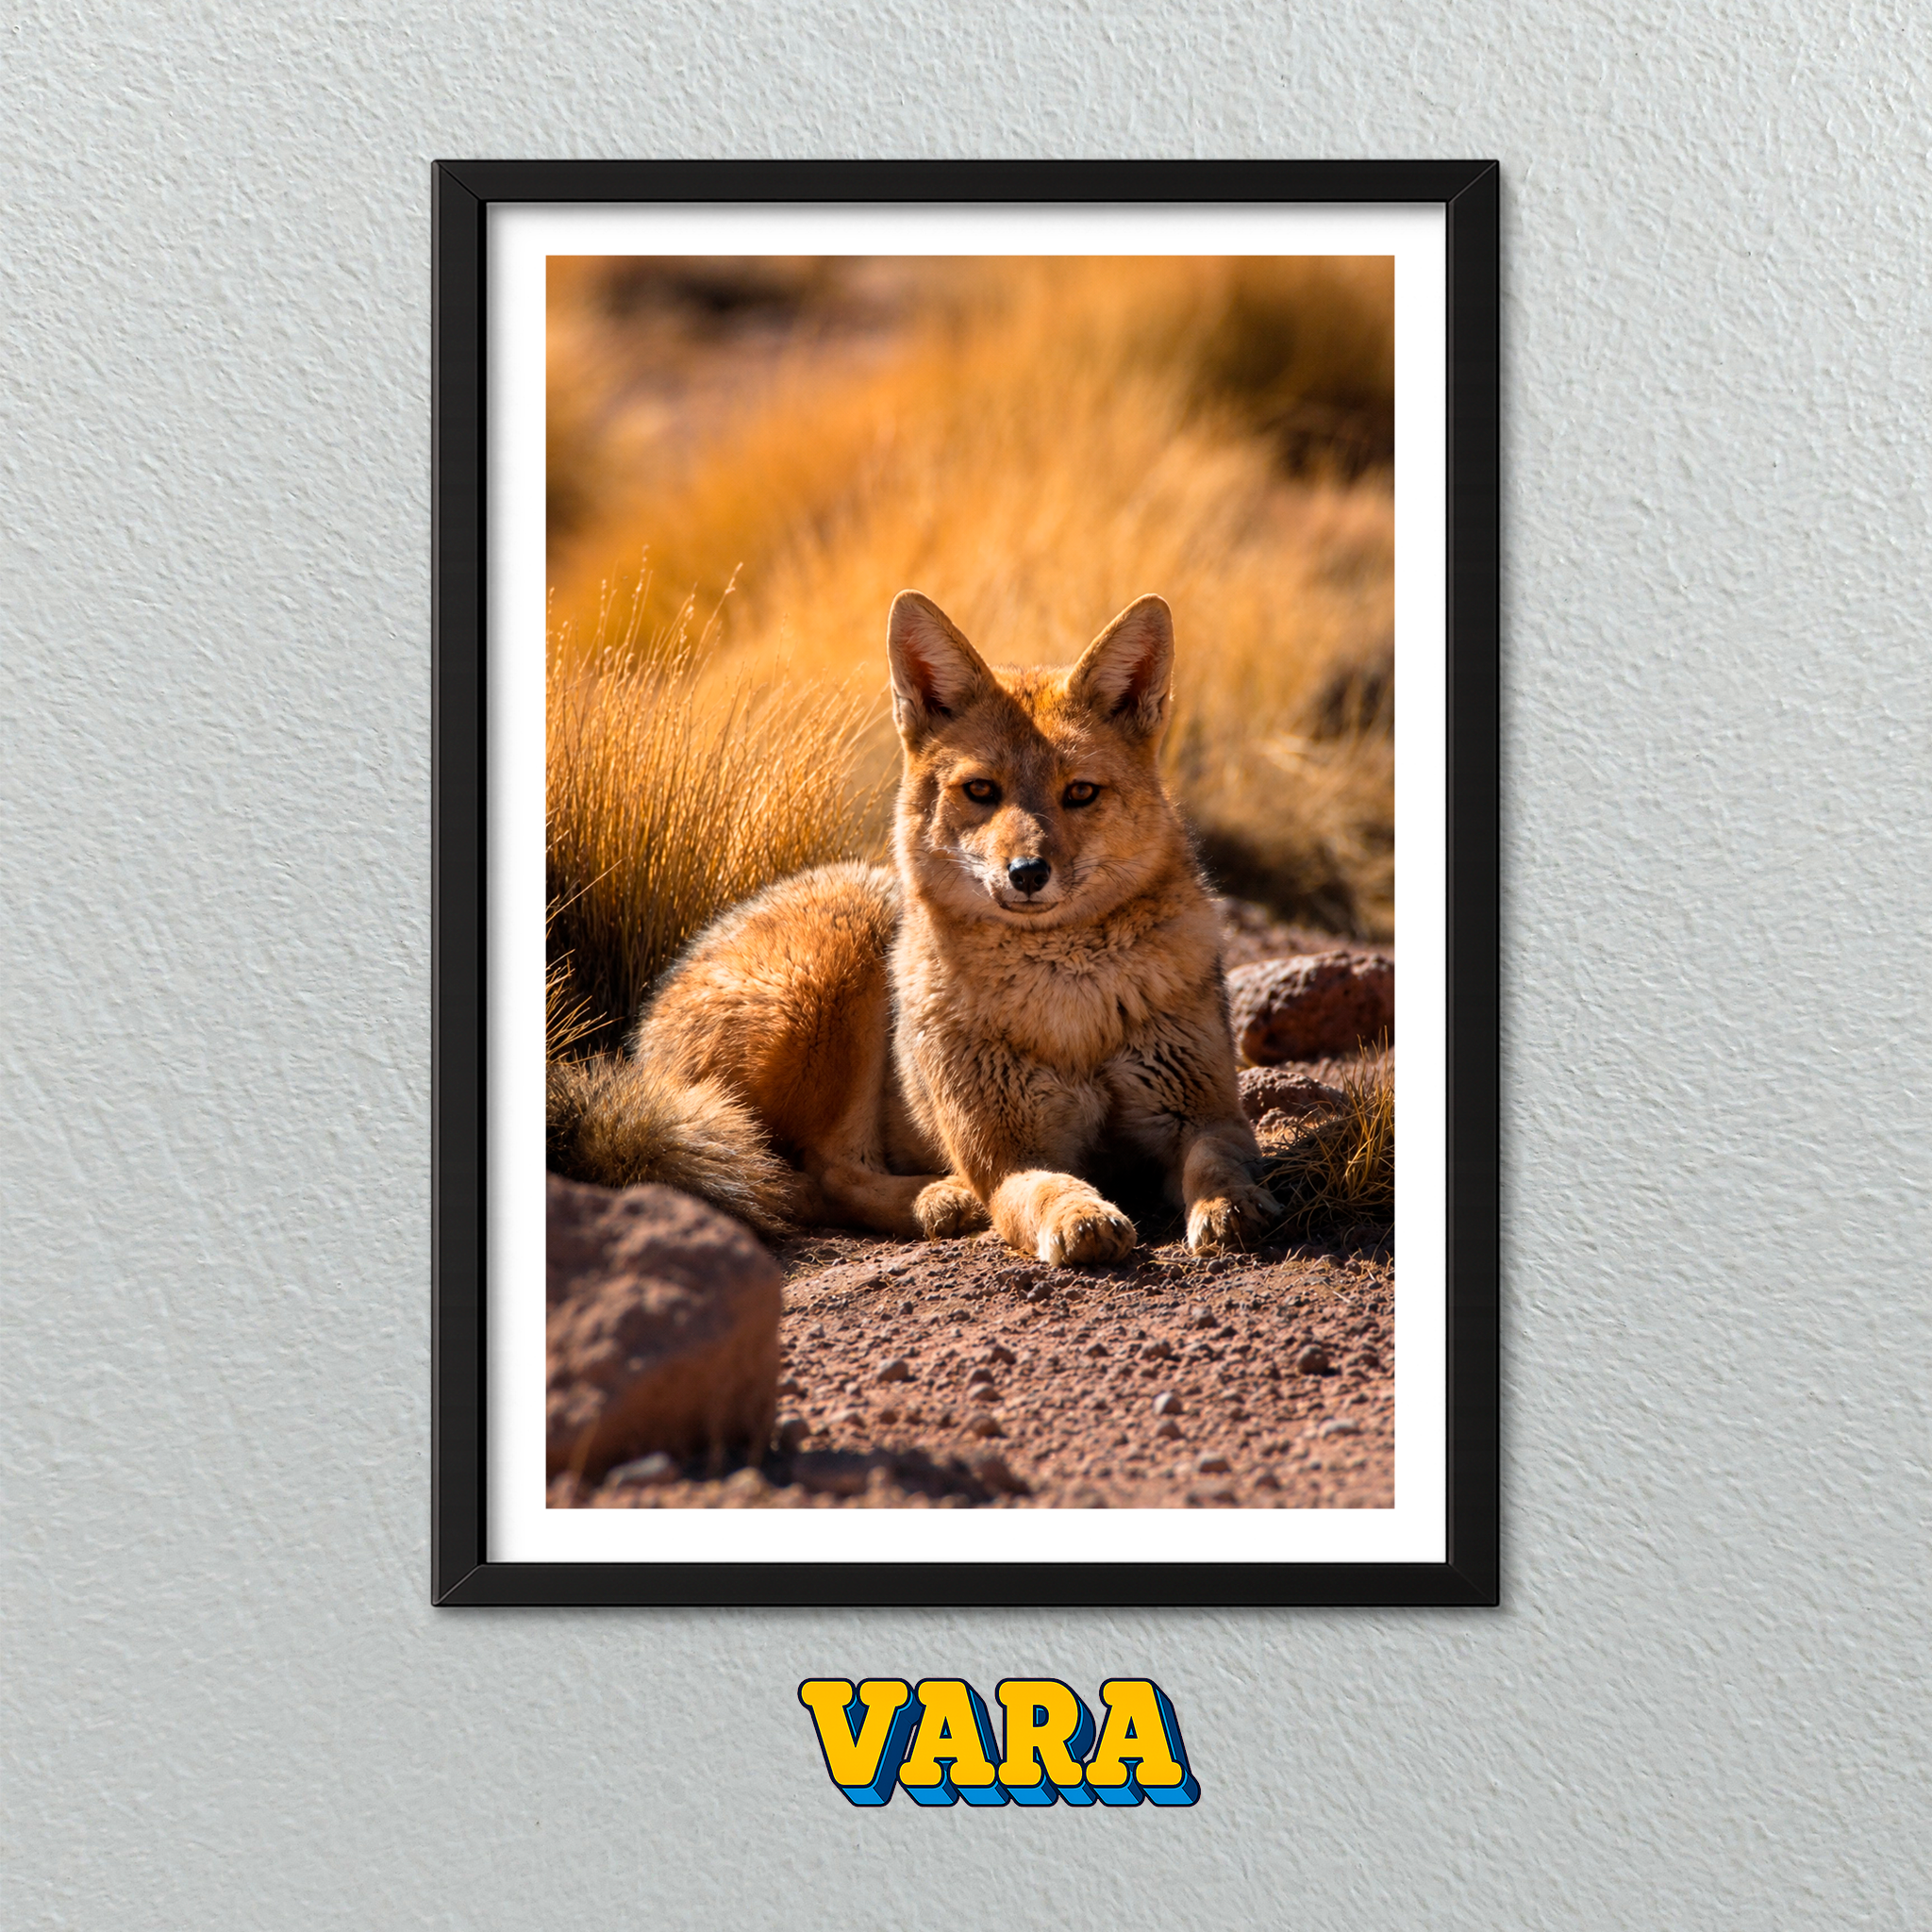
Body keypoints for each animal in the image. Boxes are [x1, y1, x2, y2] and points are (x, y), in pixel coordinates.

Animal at [547, 590, 1281, 1263]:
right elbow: (1044, 1188)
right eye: (981, 791)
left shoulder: (1204, 1112)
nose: (1028, 872)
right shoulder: (1008, 1154)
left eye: (1081, 793)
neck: (1068, 1008)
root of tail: (646, 1030)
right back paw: (941, 1198)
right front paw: (1081, 1217)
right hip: (848, 962)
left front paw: (1232, 1206)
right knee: (814, 1175)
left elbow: (1218, 1160)